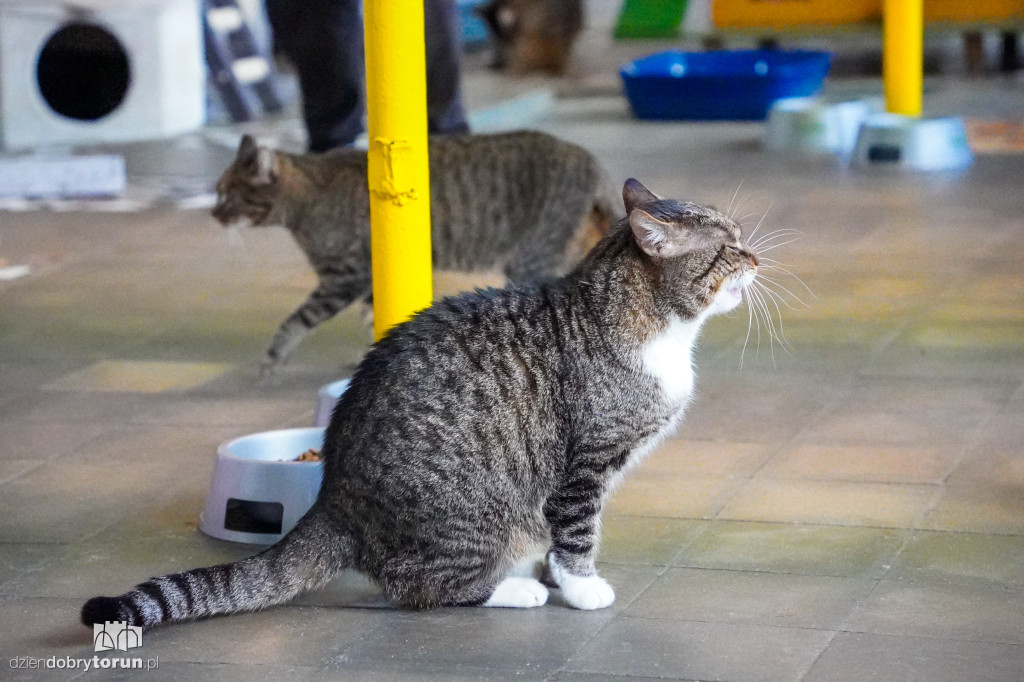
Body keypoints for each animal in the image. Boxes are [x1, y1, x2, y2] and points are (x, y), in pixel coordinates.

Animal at [83, 179, 757, 626]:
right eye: (726, 249)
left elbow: (565, 536)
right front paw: (581, 587)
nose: (754, 255)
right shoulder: (588, 462)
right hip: (471, 520)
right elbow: (576, 533)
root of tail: (334, 498)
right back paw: (513, 590)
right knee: (418, 587)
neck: (657, 332)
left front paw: (560, 574)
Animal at [211, 130, 610, 376]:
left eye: (228, 195)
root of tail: (588, 157)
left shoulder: (343, 279)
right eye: (217, 191)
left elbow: (295, 321)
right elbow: (373, 321)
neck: (309, 196)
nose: (213, 213)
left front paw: (271, 359)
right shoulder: (368, 284)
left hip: (531, 257)